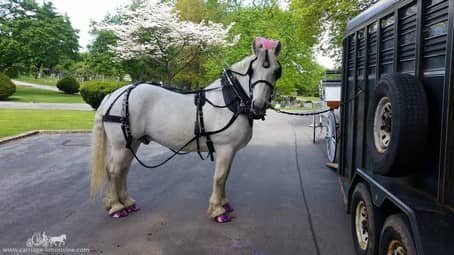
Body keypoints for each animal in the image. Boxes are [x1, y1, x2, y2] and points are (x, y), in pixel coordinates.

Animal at [89, 36, 282, 222]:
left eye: (276, 72)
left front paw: (224, 204)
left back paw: (126, 202)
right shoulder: (225, 148)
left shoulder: (230, 151)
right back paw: (117, 207)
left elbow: (225, 176)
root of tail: (115, 94)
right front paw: (217, 210)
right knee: (113, 170)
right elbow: (219, 178)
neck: (231, 101)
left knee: (123, 169)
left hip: (133, 142)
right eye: (252, 70)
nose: (259, 106)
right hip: (121, 145)